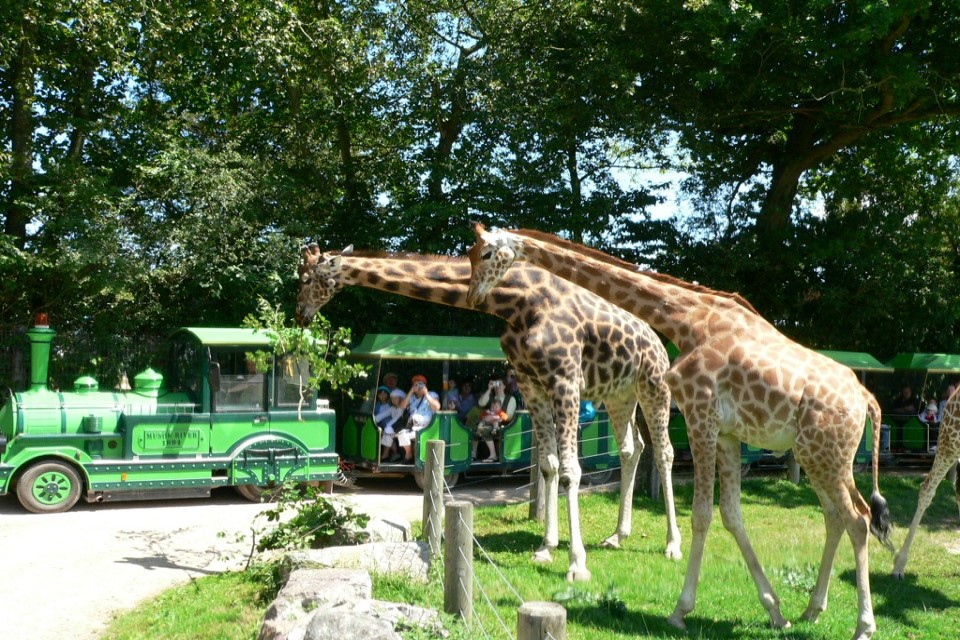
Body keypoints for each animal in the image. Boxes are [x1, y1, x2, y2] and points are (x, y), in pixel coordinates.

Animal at [294, 244, 684, 580]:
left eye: (308, 278)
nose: (299, 315)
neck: (517, 303)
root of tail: (657, 340)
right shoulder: (532, 384)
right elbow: (549, 465)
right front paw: (546, 548)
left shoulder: (565, 380)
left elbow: (571, 469)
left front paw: (576, 565)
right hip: (619, 394)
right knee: (632, 448)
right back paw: (618, 535)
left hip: (653, 385)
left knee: (665, 451)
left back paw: (673, 545)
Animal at [464, 225, 892, 640]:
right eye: (469, 254)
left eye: (485, 253)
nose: (474, 294)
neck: (688, 320)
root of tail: (867, 398)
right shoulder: (726, 433)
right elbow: (732, 515)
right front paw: (774, 611)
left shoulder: (700, 415)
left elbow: (702, 515)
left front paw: (679, 610)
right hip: (820, 456)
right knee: (837, 517)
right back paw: (811, 610)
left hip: (823, 455)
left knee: (858, 519)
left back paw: (864, 627)